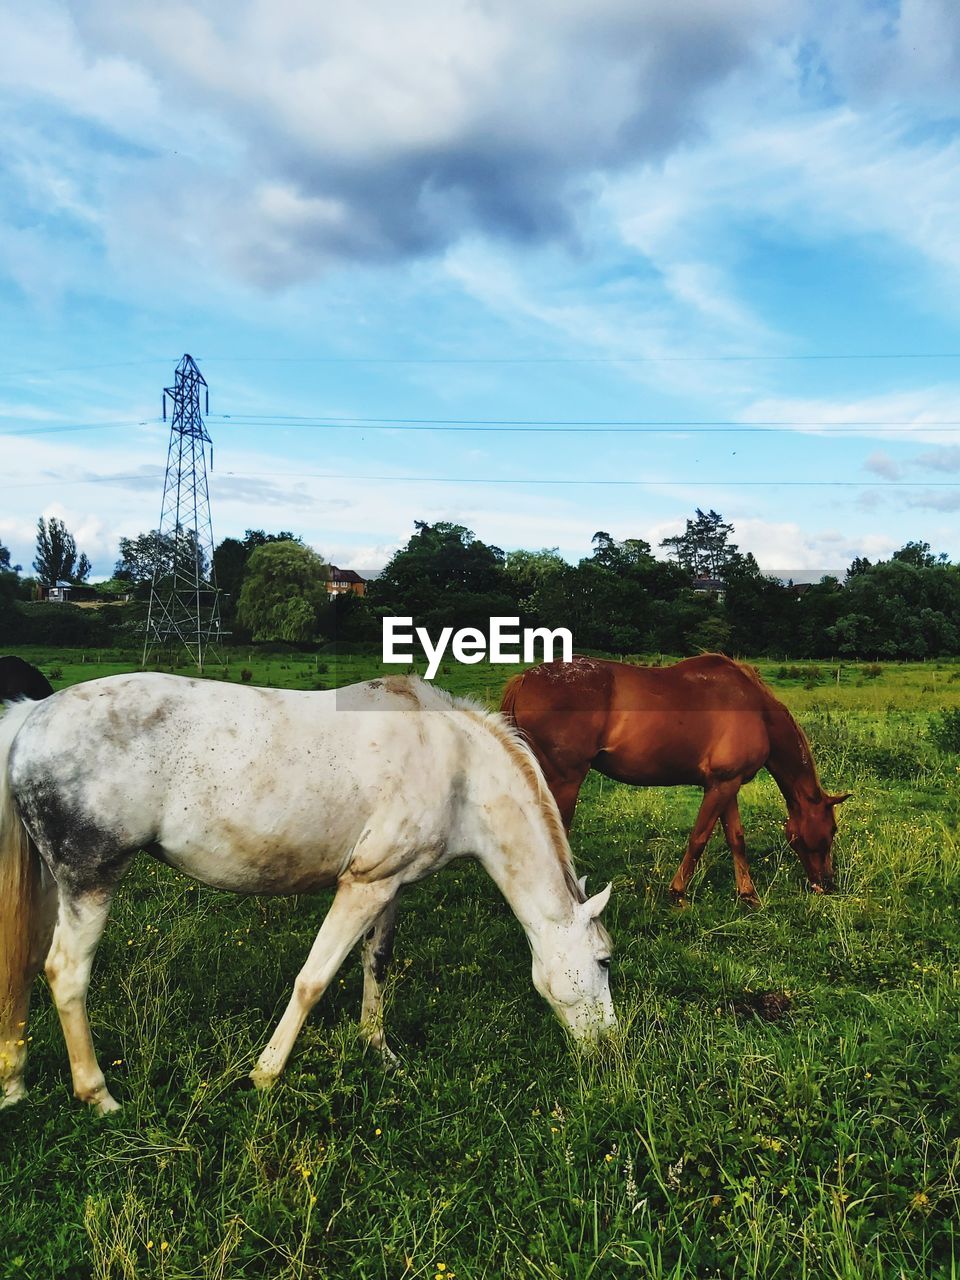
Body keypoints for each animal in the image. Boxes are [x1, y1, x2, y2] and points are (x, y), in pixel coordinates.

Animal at [1, 670, 616, 1111]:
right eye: (605, 961)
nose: (610, 1048)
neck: (456, 765)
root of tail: (32, 716)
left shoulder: (389, 886)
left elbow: (376, 962)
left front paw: (378, 1048)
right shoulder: (361, 886)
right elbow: (313, 979)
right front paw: (265, 1073)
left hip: (53, 885)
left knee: (25, 964)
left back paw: (14, 1084)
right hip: (90, 881)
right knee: (64, 974)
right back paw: (98, 1096)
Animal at [499, 655, 855, 906]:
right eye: (831, 830)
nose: (827, 883)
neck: (756, 710)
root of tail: (525, 678)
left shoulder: (727, 785)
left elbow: (736, 838)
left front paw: (748, 894)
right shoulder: (720, 786)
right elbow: (698, 838)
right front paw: (678, 892)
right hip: (564, 782)